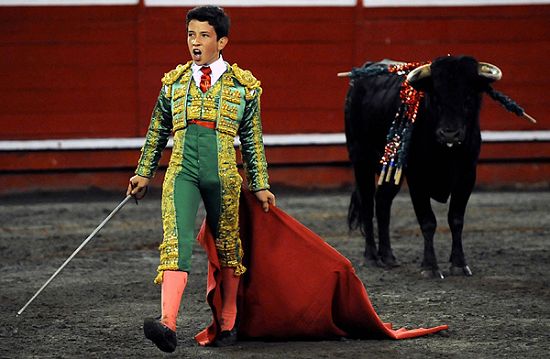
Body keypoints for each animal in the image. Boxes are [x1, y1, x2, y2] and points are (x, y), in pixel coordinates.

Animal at [348, 55, 506, 278]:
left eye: (468, 98)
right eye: (436, 97)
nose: (450, 134)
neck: (445, 153)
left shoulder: (467, 175)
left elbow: (456, 219)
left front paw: (459, 264)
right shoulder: (417, 178)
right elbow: (428, 221)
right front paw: (430, 267)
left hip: (392, 168)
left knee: (383, 202)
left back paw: (388, 257)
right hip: (360, 159)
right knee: (368, 205)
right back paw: (371, 257)